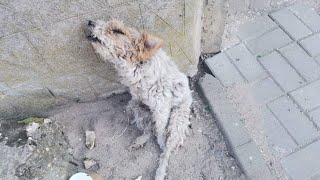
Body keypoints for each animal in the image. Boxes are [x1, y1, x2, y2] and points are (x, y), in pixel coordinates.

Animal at [86, 19, 191, 179]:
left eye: (117, 31)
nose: (90, 21)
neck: (137, 67)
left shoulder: (162, 109)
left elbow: (161, 132)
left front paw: (161, 143)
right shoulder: (138, 99)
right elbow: (154, 128)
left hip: (176, 121)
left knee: (166, 146)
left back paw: (160, 171)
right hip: (138, 108)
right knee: (149, 129)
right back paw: (139, 141)